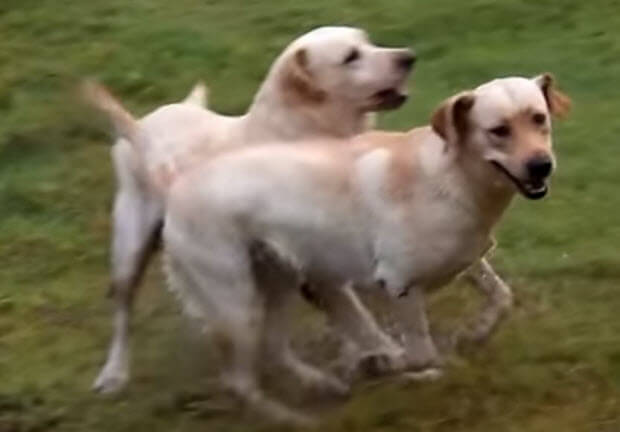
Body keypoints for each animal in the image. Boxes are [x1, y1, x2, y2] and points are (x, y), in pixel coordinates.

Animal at [87, 25, 414, 394]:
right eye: (350, 57)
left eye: (367, 42)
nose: (408, 57)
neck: (299, 133)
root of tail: (147, 122)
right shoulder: (315, 263)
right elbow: (356, 315)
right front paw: (387, 354)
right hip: (131, 251)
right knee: (123, 312)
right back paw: (114, 373)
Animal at [156, 73, 572, 422]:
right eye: (498, 130)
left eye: (539, 118)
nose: (541, 165)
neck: (452, 175)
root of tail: (177, 186)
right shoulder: (400, 284)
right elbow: (418, 353)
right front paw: (392, 365)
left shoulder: (470, 259)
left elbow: (502, 297)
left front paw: (474, 333)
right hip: (236, 301)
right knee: (240, 382)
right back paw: (293, 418)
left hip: (278, 283)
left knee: (273, 349)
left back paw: (323, 384)